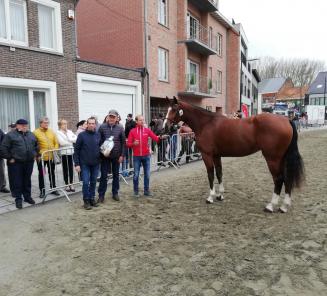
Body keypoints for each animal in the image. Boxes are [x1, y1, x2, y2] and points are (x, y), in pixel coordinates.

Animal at [164, 97, 304, 213]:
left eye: (174, 109)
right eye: (167, 108)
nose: (166, 127)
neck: (206, 123)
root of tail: (286, 120)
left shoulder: (207, 155)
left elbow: (210, 174)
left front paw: (210, 197)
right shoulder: (216, 155)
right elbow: (219, 173)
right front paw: (220, 195)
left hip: (272, 158)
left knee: (279, 179)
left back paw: (271, 206)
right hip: (281, 158)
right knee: (287, 178)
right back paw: (284, 206)